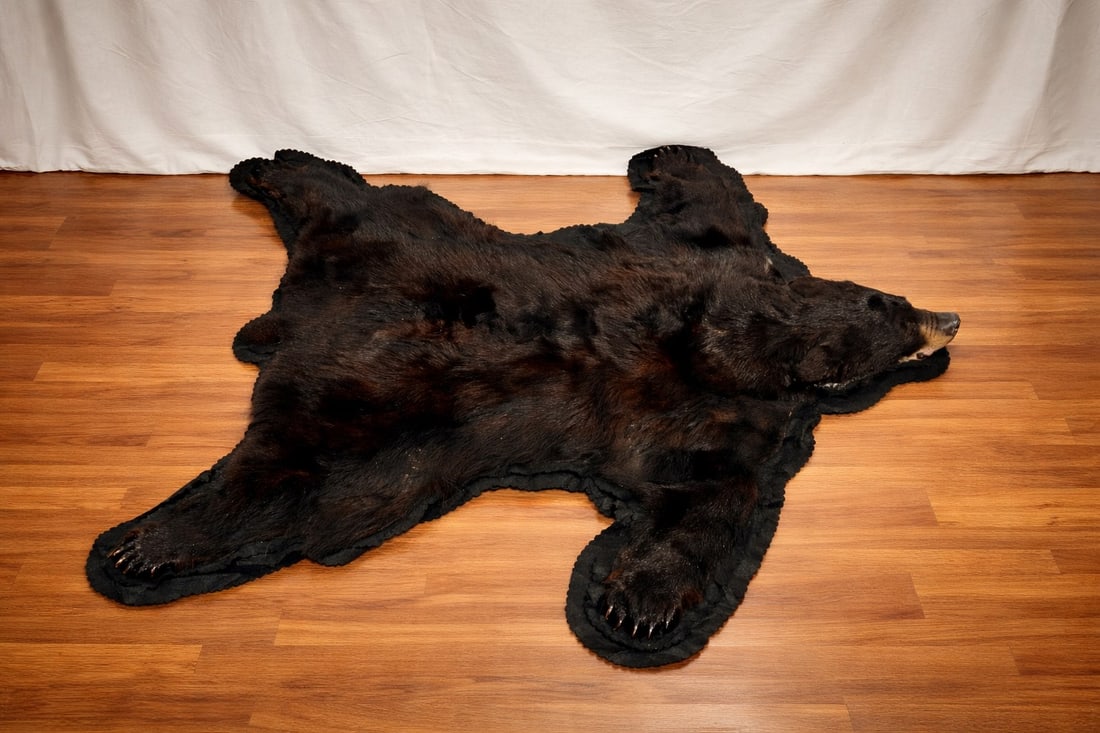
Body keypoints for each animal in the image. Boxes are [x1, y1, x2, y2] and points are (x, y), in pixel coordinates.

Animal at [87, 145, 958, 667]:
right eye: (902, 309)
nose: (951, 316)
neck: (744, 335)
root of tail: (289, 317)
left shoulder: (728, 414)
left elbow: (701, 498)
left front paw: (633, 601)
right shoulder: (720, 292)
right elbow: (713, 203)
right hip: (382, 361)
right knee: (288, 470)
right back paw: (143, 544)